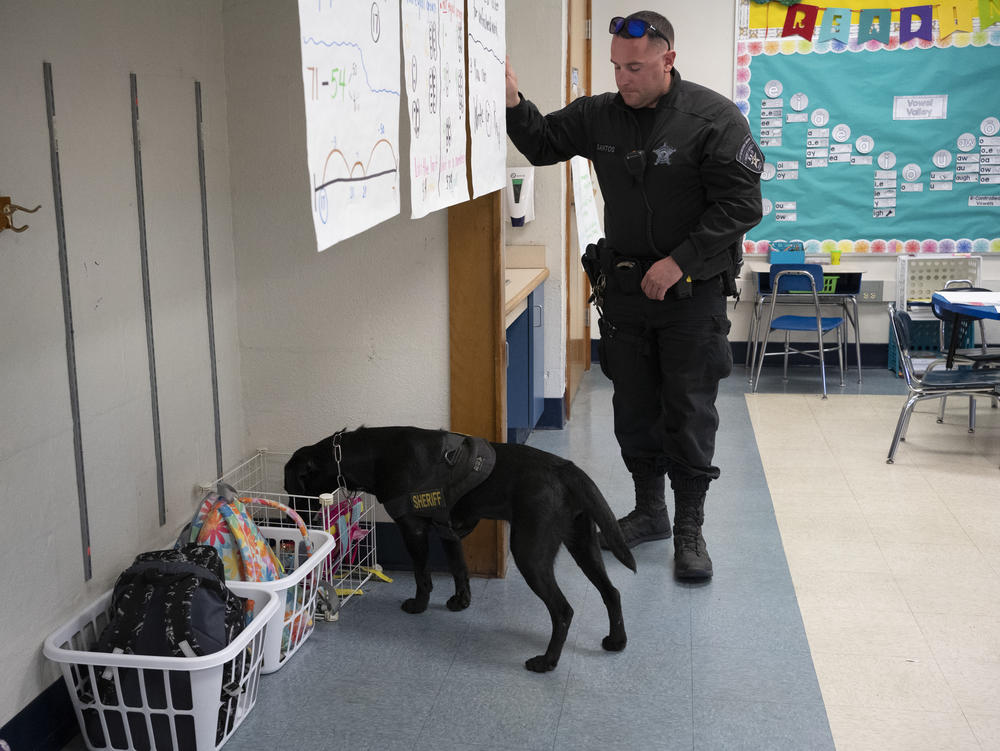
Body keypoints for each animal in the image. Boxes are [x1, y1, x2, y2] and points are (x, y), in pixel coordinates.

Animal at [286, 426, 636, 672]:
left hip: (530, 553)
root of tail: (566, 468)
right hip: (584, 544)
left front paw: (419, 605)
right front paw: (461, 601)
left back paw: (547, 661)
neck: (376, 455)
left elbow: (422, 576)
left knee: (563, 611)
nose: (292, 518)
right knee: (612, 592)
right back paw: (617, 641)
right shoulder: (448, 531)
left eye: (291, 488)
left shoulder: (413, 530)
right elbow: (460, 569)